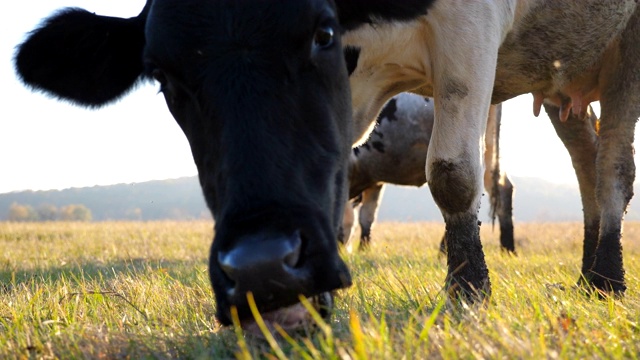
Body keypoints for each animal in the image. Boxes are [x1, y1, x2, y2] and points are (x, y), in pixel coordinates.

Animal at [340, 94, 516, 255]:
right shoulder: (374, 181)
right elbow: (366, 217)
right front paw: (363, 249)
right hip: (488, 149)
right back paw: (508, 248)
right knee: (502, 188)